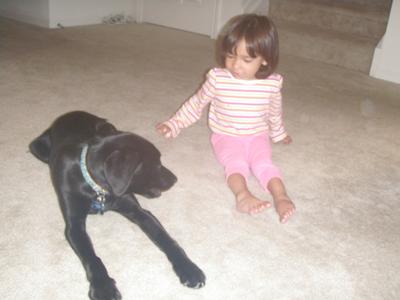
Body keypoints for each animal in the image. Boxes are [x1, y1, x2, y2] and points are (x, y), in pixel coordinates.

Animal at [30, 112, 206, 300]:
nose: (175, 179)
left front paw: (189, 269)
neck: (97, 189)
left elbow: (166, 239)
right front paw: (103, 287)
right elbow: (91, 257)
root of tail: (71, 113)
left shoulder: (139, 211)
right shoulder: (74, 226)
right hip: (37, 147)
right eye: (156, 163)